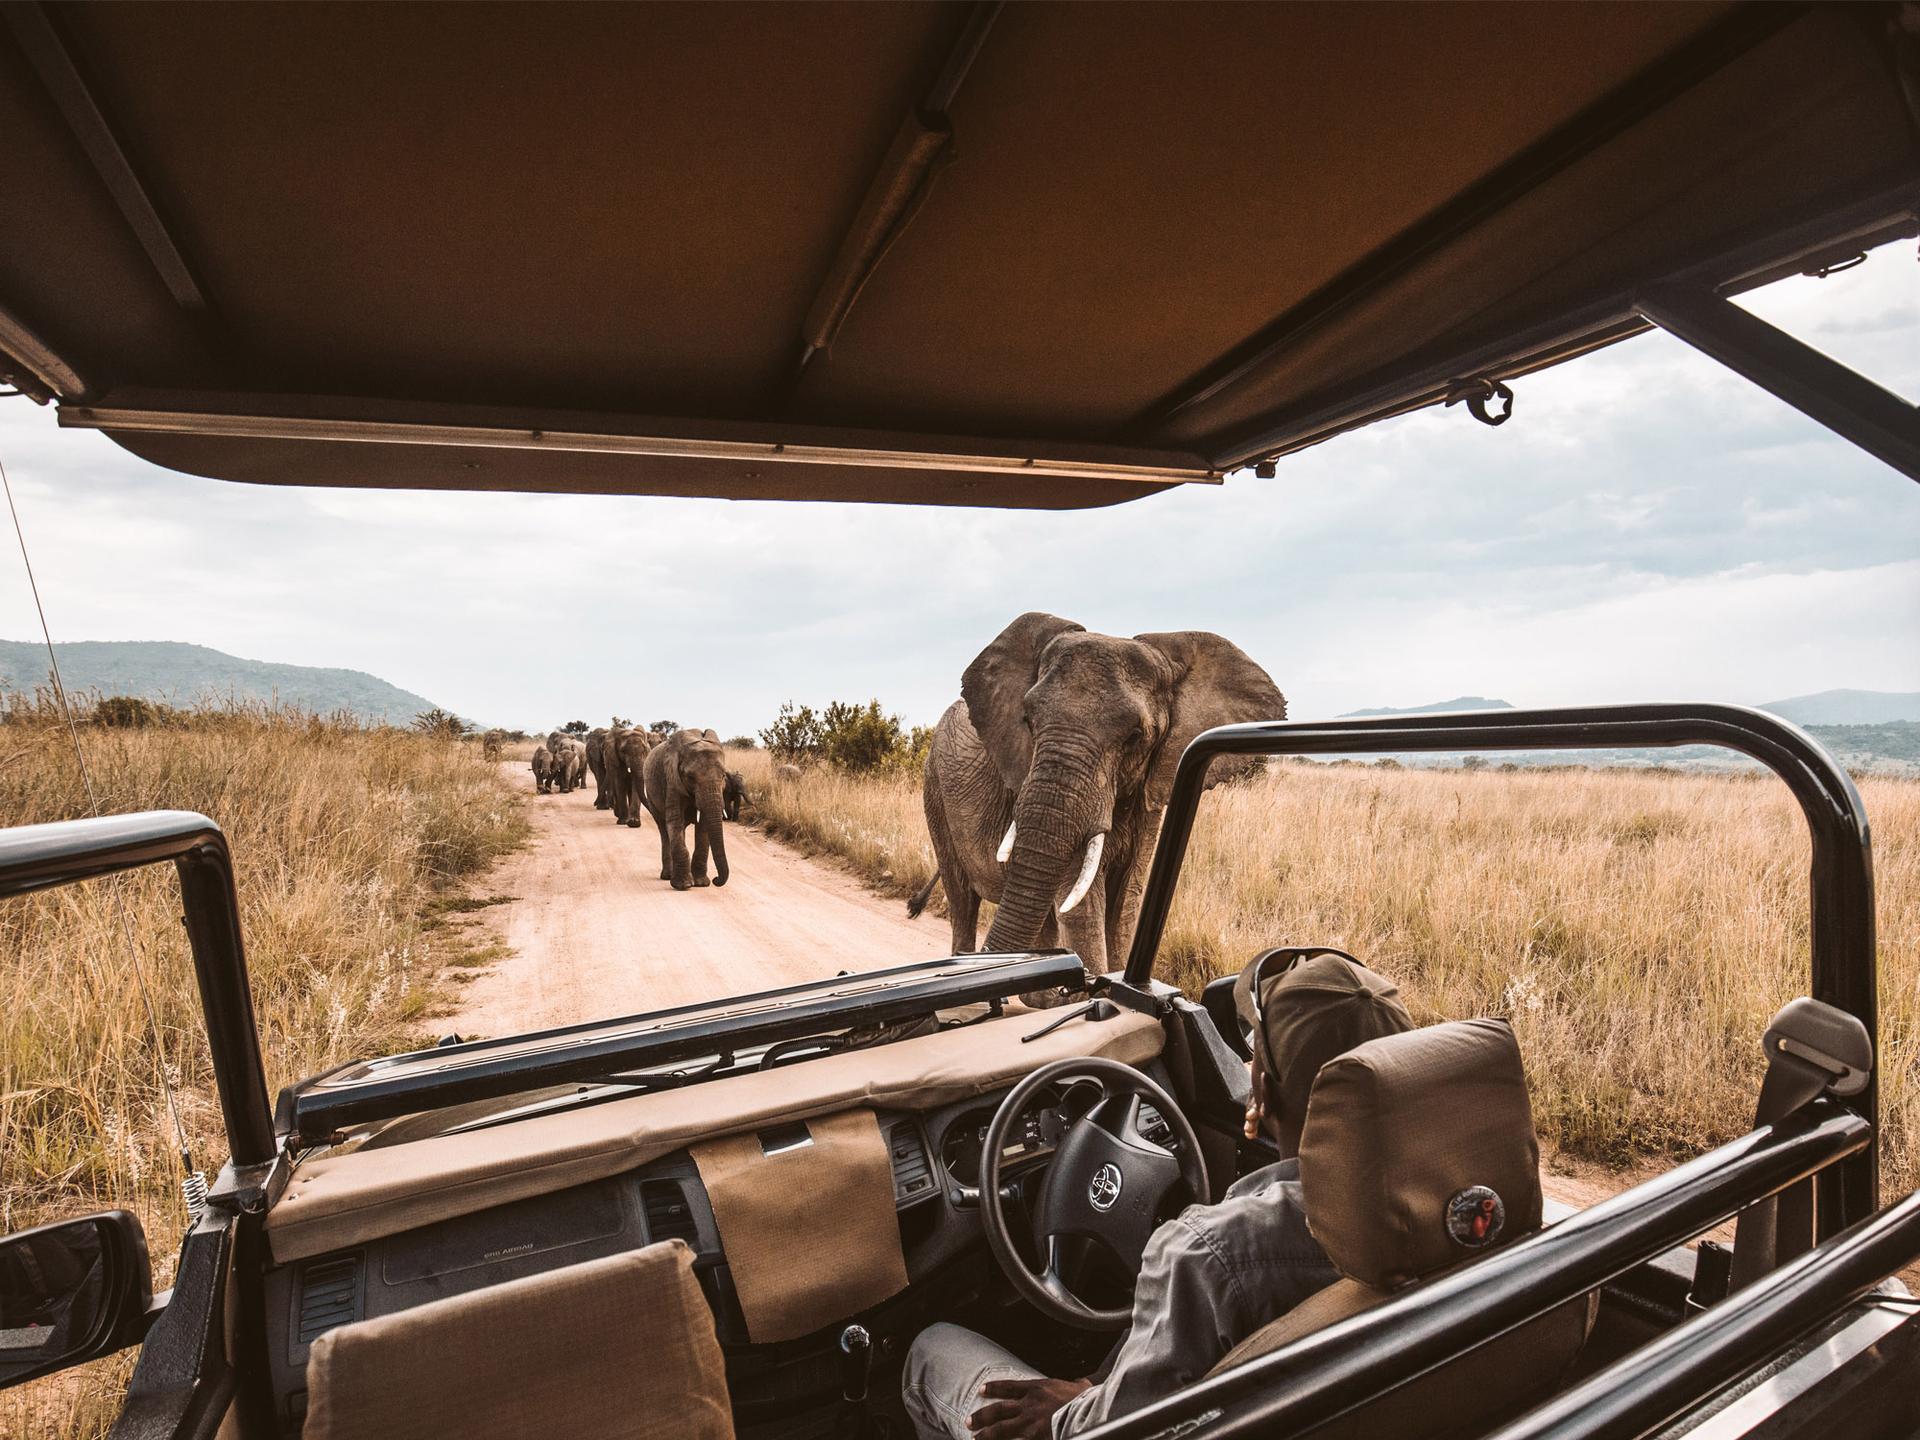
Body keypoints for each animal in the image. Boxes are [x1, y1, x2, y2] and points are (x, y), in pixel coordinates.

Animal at [645, 733, 733, 890]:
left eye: (723, 776)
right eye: (691, 777)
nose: (716, 880)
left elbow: (703, 826)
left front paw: (701, 884)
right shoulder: (672, 781)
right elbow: (675, 820)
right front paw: (683, 886)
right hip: (651, 797)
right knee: (664, 829)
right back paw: (668, 876)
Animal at [917, 614, 1282, 990]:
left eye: (1135, 736)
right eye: (1028, 721)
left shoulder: (1149, 797)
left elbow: (1125, 903)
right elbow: (1081, 907)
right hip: (935, 791)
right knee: (963, 900)